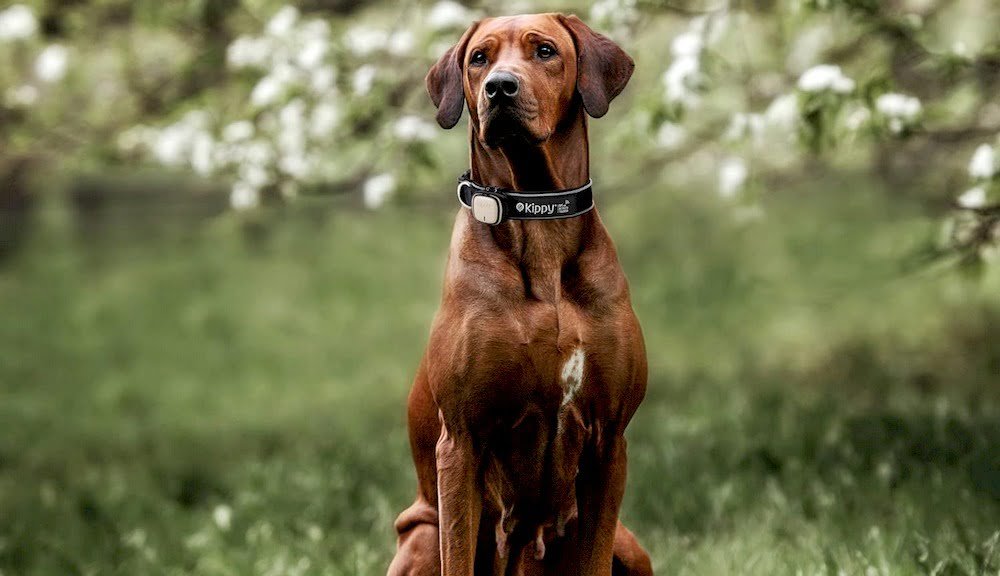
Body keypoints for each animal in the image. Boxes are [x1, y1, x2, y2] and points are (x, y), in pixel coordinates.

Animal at [386, 13, 652, 576]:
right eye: (478, 59)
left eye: (545, 51)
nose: (499, 88)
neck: (537, 212)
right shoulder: (461, 442)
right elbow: (459, 553)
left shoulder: (611, 442)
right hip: (422, 534)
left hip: (630, 545)